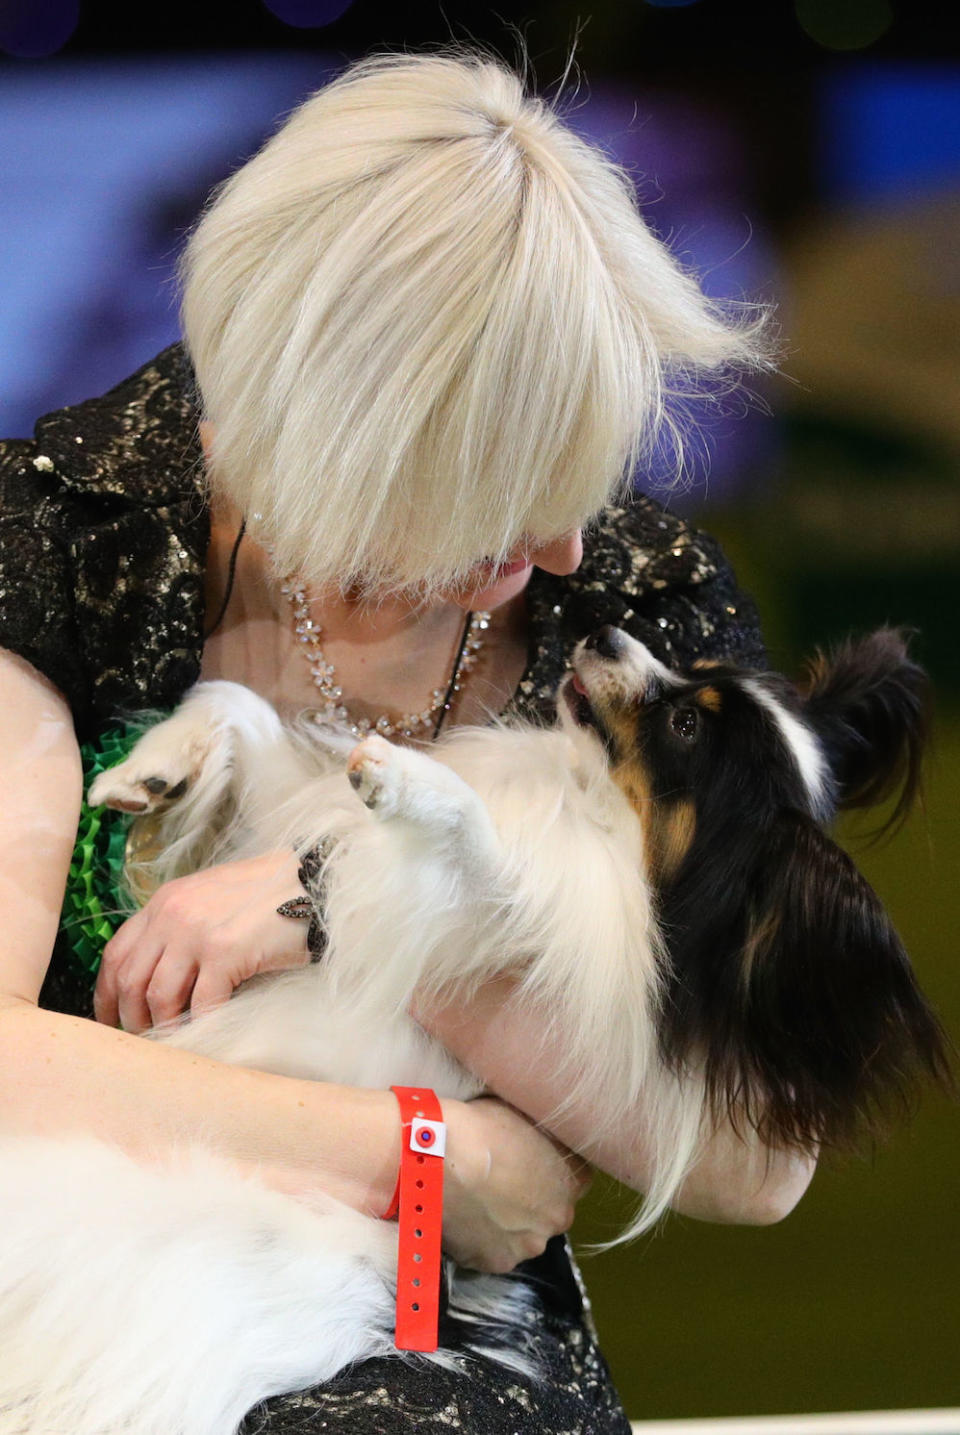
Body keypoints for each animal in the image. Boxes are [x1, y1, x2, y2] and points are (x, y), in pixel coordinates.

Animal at [0, 628, 941, 1435]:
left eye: (684, 723)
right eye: (692, 669)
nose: (605, 633)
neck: (579, 805)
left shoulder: (502, 919)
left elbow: (480, 845)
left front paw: (411, 781)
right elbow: (242, 706)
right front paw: (148, 770)